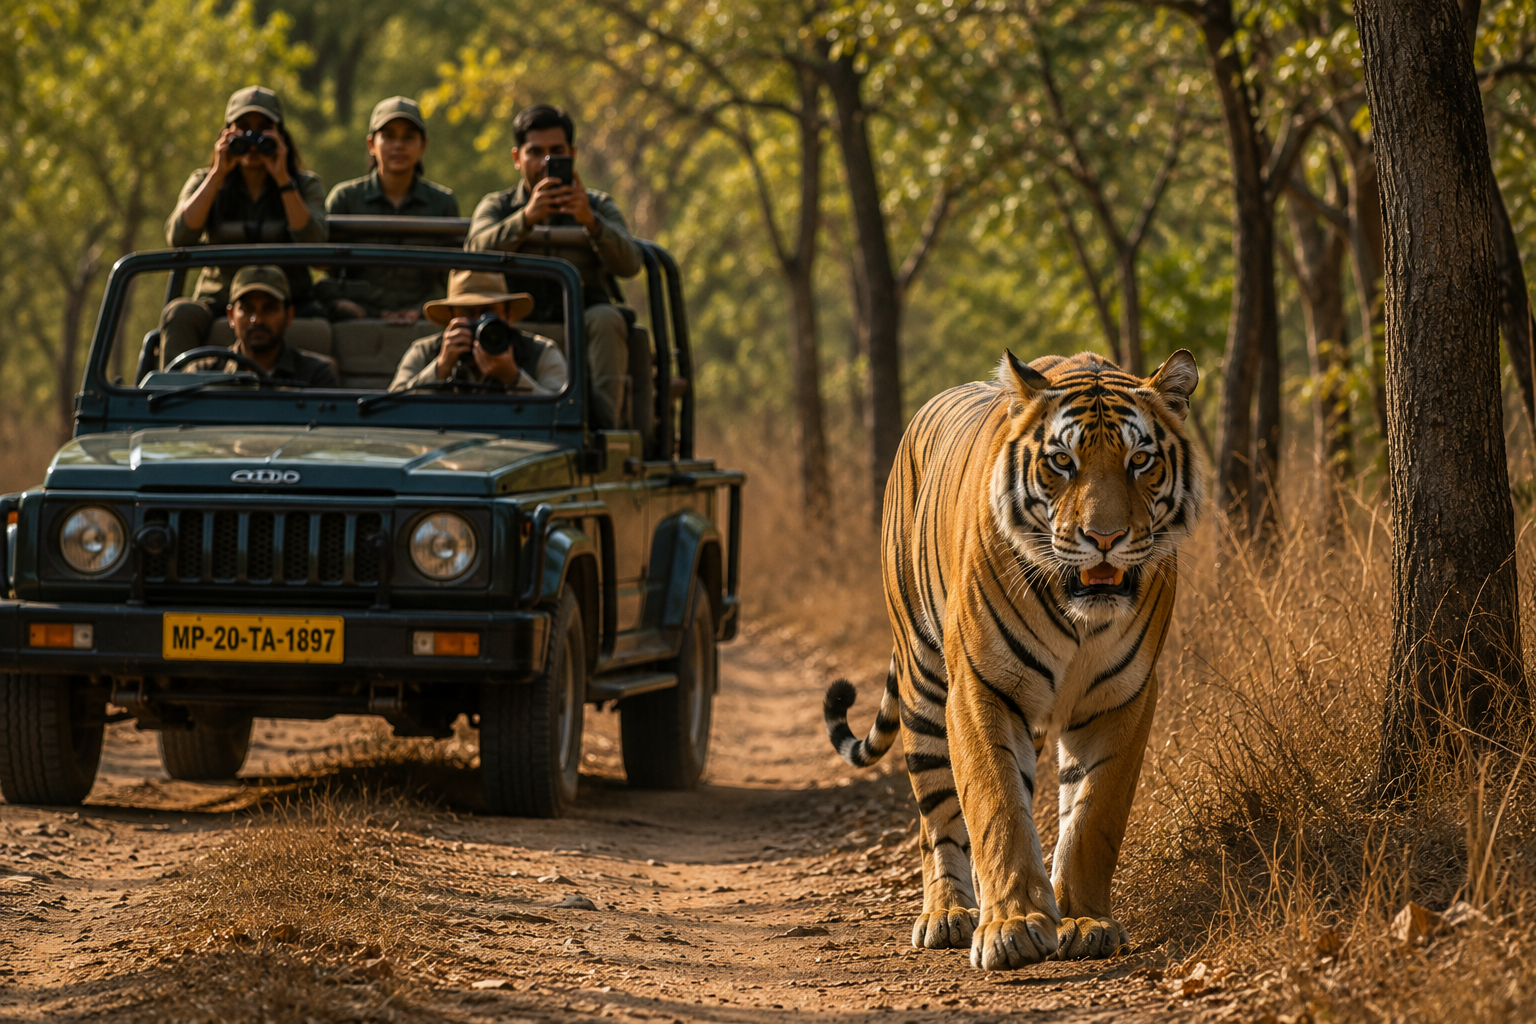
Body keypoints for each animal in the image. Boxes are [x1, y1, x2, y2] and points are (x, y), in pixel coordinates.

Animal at [823, 349, 1201, 970]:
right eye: (1062, 462)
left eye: (1140, 460)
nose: (1104, 537)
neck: (1081, 618)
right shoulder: (982, 688)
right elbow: (996, 805)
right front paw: (1013, 927)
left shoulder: (1122, 698)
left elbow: (1092, 816)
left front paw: (1084, 921)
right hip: (924, 684)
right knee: (937, 816)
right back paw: (949, 914)